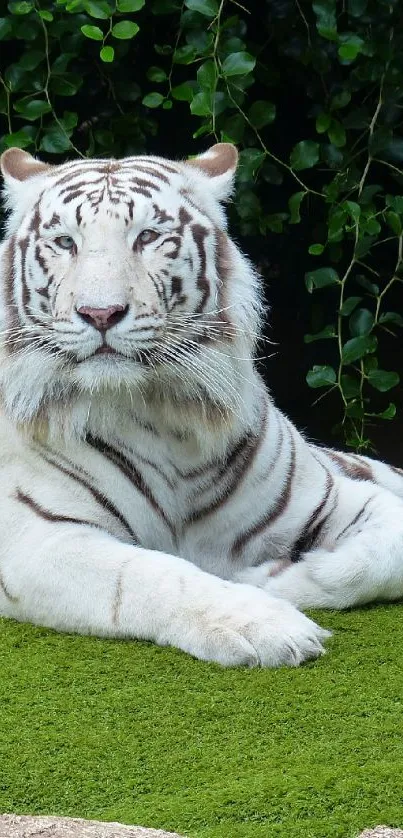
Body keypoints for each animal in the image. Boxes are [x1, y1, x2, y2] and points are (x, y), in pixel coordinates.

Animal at [0, 144, 402, 668]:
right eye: (65, 242)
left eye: (147, 236)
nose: (100, 313)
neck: (162, 413)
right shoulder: (37, 539)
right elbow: (151, 575)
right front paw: (266, 624)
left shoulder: (333, 495)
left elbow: (381, 557)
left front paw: (270, 578)